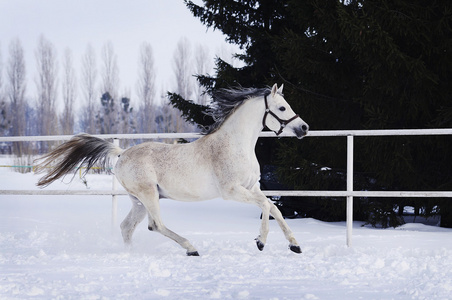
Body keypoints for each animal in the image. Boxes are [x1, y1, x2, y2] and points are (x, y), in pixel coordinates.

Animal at [37, 84, 308, 255]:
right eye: (282, 108)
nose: (304, 128)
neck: (235, 144)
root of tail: (122, 153)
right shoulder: (232, 191)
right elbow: (265, 206)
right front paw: (261, 242)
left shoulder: (253, 187)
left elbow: (273, 207)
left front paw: (294, 245)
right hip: (148, 195)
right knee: (155, 225)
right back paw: (191, 248)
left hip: (139, 201)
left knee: (127, 227)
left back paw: (132, 254)